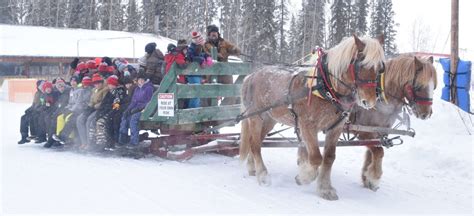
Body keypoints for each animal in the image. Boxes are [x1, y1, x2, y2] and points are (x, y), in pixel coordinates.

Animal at [239, 34, 386, 200]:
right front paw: (304, 176)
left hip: (270, 119)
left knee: (255, 140)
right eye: (360, 64)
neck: (324, 86)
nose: (369, 101)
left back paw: (253, 168)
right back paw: (263, 175)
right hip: (256, 116)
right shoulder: (307, 125)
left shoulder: (336, 128)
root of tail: (251, 76)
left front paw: (325, 188)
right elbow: (316, 157)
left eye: (380, 68)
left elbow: (329, 158)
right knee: (255, 145)